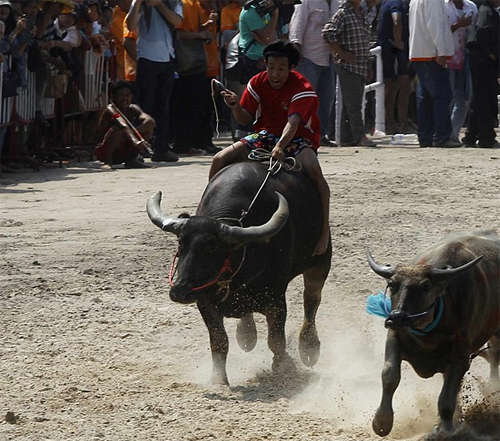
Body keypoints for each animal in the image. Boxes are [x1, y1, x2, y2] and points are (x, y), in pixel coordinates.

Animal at [146, 160, 332, 384]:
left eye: (211, 248)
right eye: (181, 243)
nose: (179, 291)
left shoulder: (276, 300)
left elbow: (276, 340)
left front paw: (283, 367)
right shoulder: (204, 301)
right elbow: (219, 341)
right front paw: (218, 379)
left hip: (321, 262)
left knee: (311, 301)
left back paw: (309, 347)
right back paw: (246, 335)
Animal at [368, 232, 500, 434]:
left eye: (425, 286)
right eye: (392, 284)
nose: (396, 317)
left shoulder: (461, 357)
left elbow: (446, 397)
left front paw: (445, 429)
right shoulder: (394, 338)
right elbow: (389, 375)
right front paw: (382, 422)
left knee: (494, 358)